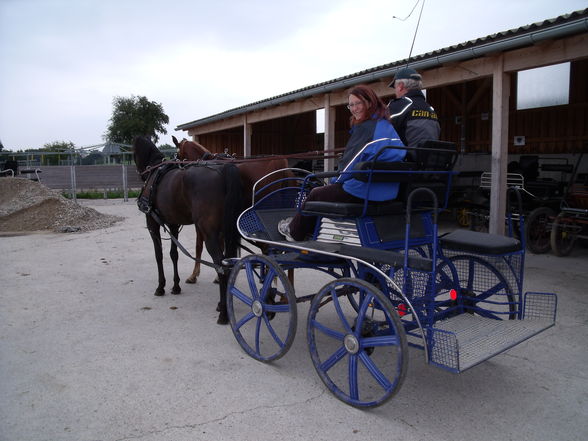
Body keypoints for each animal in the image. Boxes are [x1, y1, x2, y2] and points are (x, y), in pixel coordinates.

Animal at [133, 135, 243, 324]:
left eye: (133, 152)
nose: (140, 174)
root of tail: (223, 170)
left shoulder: (152, 224)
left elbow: (159, 255)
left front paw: (161, 286)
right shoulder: (173, 225)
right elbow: (174, 254)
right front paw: (176, 286)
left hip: (210, 233)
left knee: (221, 265)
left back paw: (223, 313)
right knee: (228, 262)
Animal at [171, 134, 290, 284]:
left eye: (178, 154)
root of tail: (279, 162)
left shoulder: (202, 223)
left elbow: (199, 246)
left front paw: (194, 275)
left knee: (267, 247)